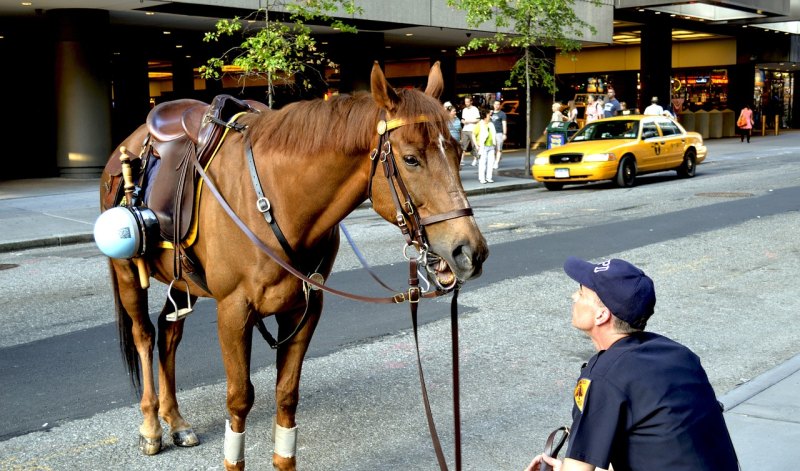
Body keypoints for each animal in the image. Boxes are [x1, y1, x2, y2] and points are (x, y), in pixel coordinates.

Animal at [101, 62, 488, 471]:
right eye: (412, 159)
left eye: (459, 152)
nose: (469, 250)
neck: (276, 201)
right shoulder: (234, 311)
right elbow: (239, 399)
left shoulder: (305, 308)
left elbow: (286, 394)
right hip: (127, 273)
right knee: (145, 335)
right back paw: (151, 425)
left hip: (184, 280)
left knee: (169, 331)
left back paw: (175, 419)